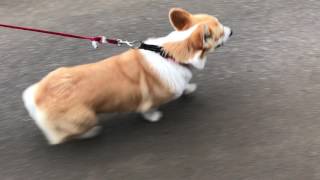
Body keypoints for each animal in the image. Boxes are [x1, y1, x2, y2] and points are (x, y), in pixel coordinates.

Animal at [23, 8, 232, 145]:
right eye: (221, 32)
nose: (232, 30)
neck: (170, 53)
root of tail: (37, 97)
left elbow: (185, 86)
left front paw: (189, 88)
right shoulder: (151, 100)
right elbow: (149, 109)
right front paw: (154, 116)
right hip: (86, 117)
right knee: (63, 137)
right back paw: (93, 132)